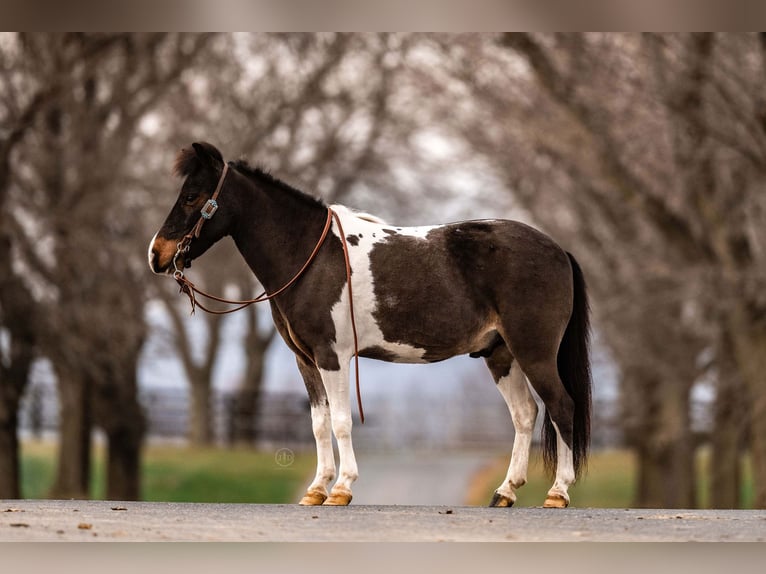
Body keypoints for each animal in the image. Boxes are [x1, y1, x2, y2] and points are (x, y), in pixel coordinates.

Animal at [150, 143, 592, 508]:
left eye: (192, 196)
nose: (157, 254)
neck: (310, 257)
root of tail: (558, 250)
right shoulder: (306, 360)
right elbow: (319, 423)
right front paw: (317, 489)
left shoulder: (332, 357)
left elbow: (342, 422)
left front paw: (342, 488)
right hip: (499, 353)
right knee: (525, 414)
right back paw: (505, 492)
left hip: (534, 351)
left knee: (561, 406)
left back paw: (557, 493)